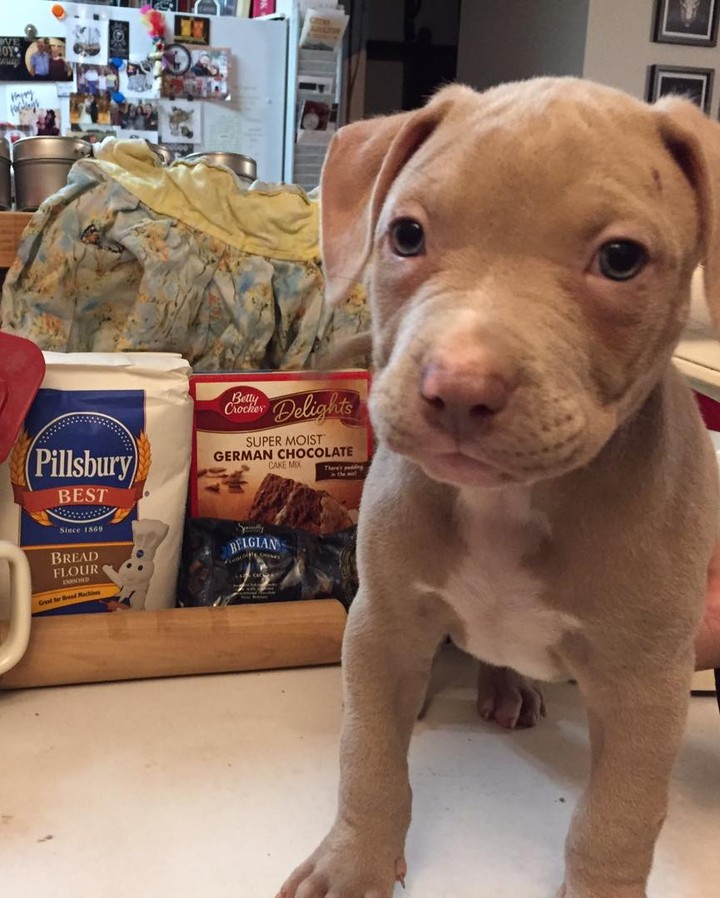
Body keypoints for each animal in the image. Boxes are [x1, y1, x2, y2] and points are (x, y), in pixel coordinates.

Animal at [278, 79, 720, 896]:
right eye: (407, 235)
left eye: (621, 258)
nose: (458, 386)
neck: (509, 503)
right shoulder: (382, 625)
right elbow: (368, 755)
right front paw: (354, 860)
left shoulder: (648, 683)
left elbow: (619, 815)